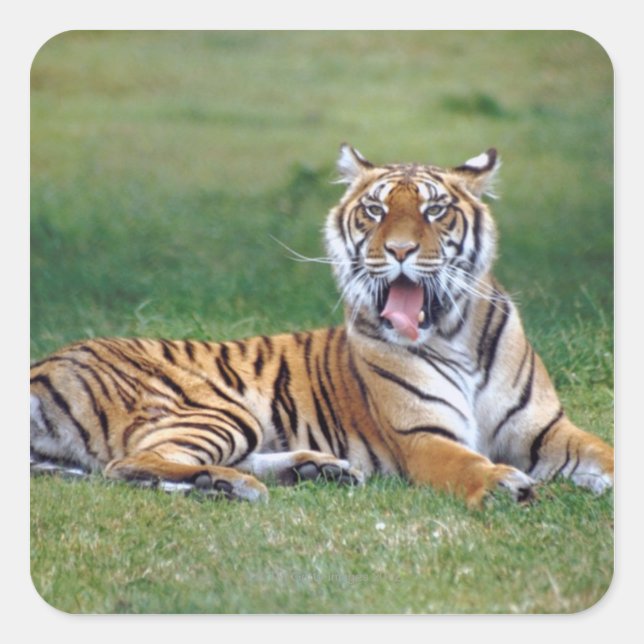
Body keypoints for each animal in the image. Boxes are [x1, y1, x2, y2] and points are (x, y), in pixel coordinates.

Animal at [30, 144, 614, 507]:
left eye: (435, 211)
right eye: (375, 211)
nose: (399, 250)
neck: (456, 334)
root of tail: (40, 365)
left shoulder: (547, 429)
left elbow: (605, 451)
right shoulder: (425, 436)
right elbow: (466, 464)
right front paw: (501, 484)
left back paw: (315, 469)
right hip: (216, 407)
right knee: (132, 463)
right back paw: (228, 484)